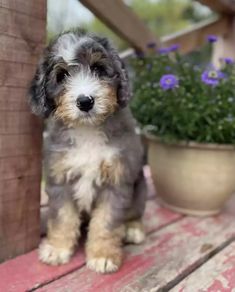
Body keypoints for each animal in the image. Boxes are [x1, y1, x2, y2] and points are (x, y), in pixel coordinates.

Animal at [28, 30, 147, 274]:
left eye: (98, 68)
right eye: (62, 76)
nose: (85, 101)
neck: (88, 130)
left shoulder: (117, 181)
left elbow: (106, 223)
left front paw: (103, 255)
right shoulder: (60, 180)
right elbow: (62, 217)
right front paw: (57, 249)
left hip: (140, 188)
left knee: (135, 212)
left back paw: (132, 229)